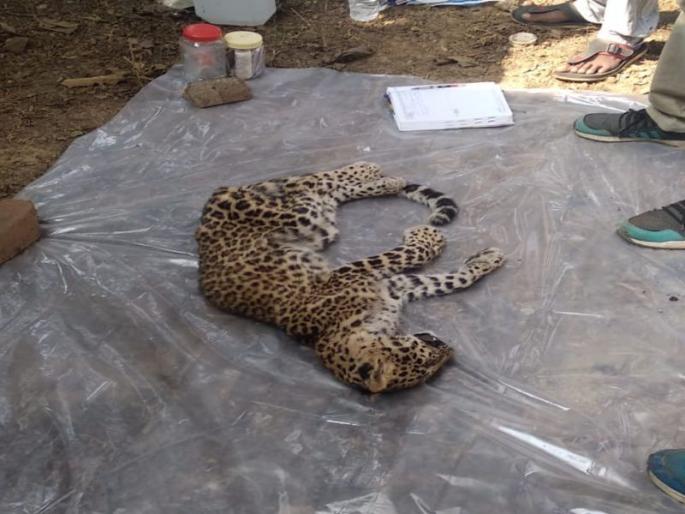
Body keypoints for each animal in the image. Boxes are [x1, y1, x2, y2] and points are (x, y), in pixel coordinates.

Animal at [195, 162, 504, 393]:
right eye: (425, 362)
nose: (448, 348)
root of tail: (216, 197)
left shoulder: (394, 287)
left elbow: (452, 280)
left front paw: (489, 259)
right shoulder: (362, 277)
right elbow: (411, 256)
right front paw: (428, 237)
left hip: (317, 224)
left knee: (316, 188)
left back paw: (377, 175)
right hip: (302, 218)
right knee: (308, 187)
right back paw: (378, 174)